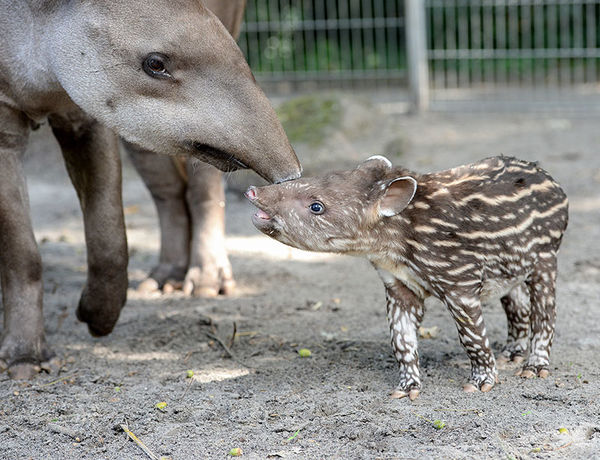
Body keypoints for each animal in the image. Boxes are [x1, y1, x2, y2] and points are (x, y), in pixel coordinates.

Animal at [0, 0, 300, 380]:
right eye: (155, 64)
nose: (291, 176)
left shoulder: (88, 113)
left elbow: (110, 236)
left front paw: (94, 316)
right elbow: (21, 252)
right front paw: (26, 359)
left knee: (200, 187)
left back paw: (205, 281)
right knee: (167, 187)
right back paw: (165, 279)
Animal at [247, 157, 568, 398]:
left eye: (317, 206)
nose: (253, 192)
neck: (399, 235)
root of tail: (552, 182)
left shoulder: (459, 282)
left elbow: (472, 336)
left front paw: (482, 382)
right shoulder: (398, 283)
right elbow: (401, 338)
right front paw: (408, 387)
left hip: (545, 255)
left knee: (544, 311)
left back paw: (534, 367)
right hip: (509, 266)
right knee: (516, 303)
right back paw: (511, 353)